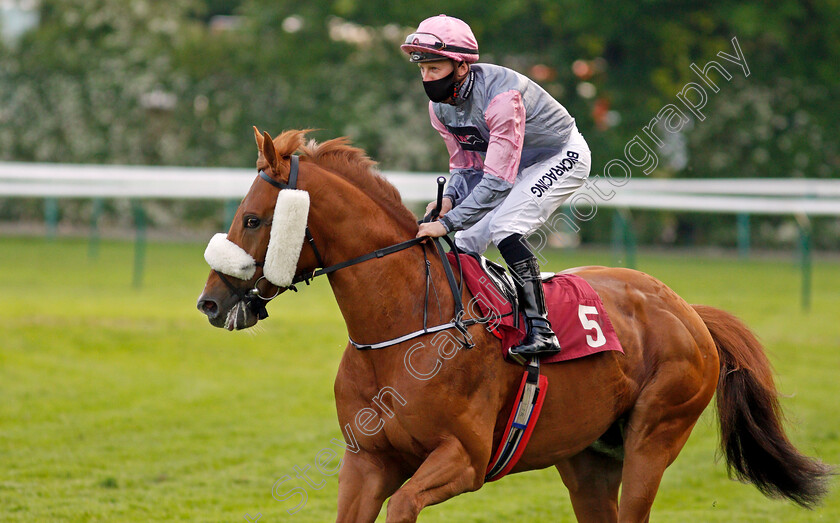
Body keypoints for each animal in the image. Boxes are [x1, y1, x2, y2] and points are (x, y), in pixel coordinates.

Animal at [195, 128, 828, 523]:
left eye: (252, 219)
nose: (210, 303)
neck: (403, 335)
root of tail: (689, 310)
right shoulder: (367, 460)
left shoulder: (465, 459)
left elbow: (405, 506)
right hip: (589, 459)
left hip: (655, 436)